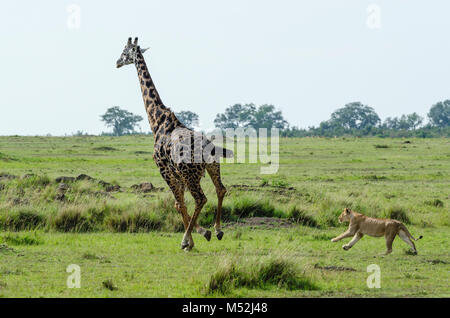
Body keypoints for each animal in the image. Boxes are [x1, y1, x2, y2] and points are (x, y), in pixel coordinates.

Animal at [116, 38, 232, 251]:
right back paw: (218, 229)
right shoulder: (176, 174)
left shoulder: (164, 170)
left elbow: (179, 203)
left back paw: (191, 237)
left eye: (125, 51)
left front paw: (192, 239)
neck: (157, 121)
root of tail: (206, 148)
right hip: (211, 167)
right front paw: (200, 234)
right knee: (220, 189)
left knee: (201, 198)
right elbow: (180, 204)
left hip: (190, 174)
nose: (117, 62)